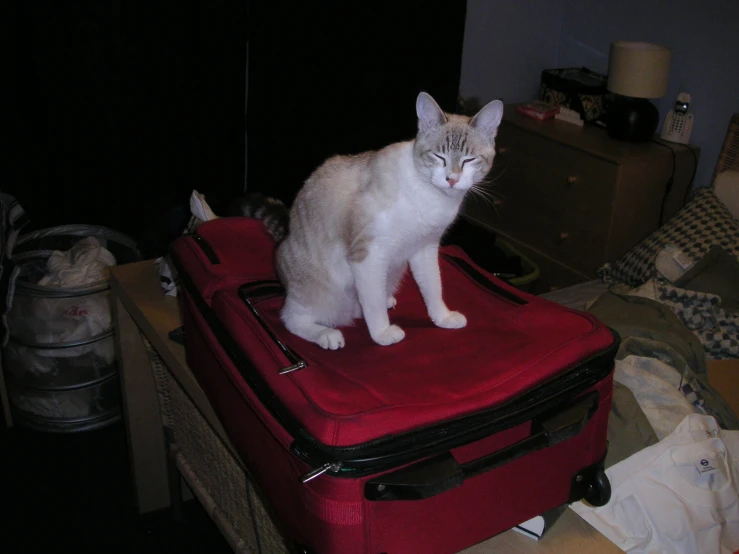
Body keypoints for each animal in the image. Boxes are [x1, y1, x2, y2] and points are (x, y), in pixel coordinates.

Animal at [237, 92, 502, 348]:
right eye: (439, 156)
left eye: (469, 160)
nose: (452, 179)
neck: (433, 197)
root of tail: (285, 235)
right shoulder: (369, 254)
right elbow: (373, 306)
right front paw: (382, 334)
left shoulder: (425, 248)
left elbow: (433, 288)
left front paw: (443, 318)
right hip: (321, 293)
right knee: (291, 318)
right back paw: (327, 335)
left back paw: (383, 300)